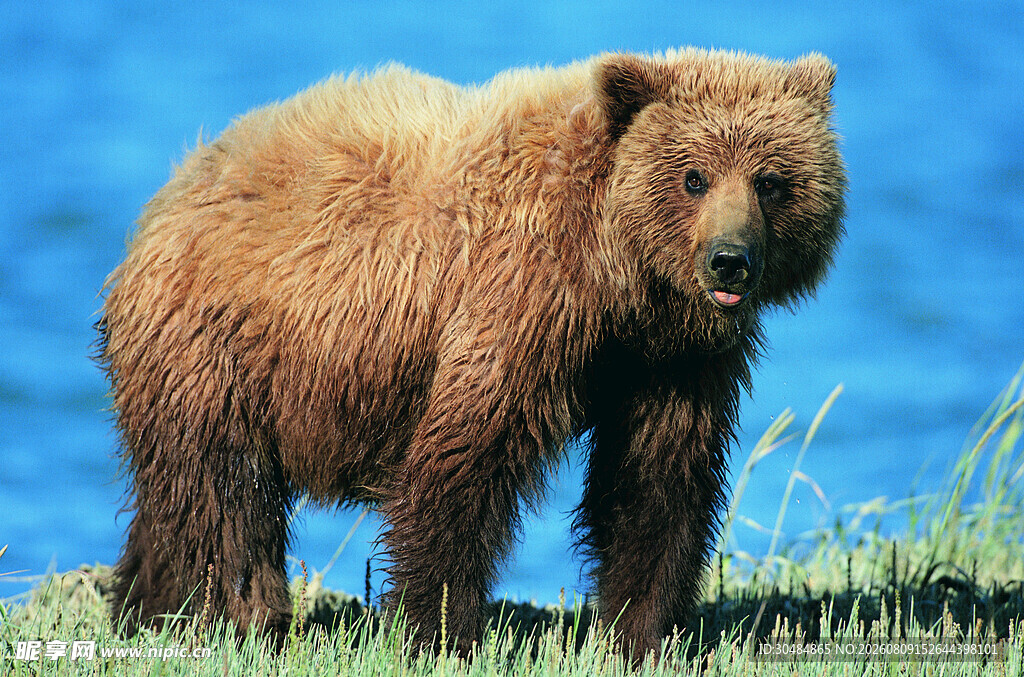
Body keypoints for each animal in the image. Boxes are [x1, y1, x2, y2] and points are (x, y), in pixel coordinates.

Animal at [98, 48, 845, 658]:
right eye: (693, 177)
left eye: (772, 180)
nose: (729, 261)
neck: (617, 277)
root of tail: (170, 192)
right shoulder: (517, 299)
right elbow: (465, 459)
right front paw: (438, 631)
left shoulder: (668, 361)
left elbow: (656, 481)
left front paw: (643, 632)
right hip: (221, 347)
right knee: (227, 494)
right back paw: (249, 619)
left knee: (173, 497)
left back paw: (146, 607)